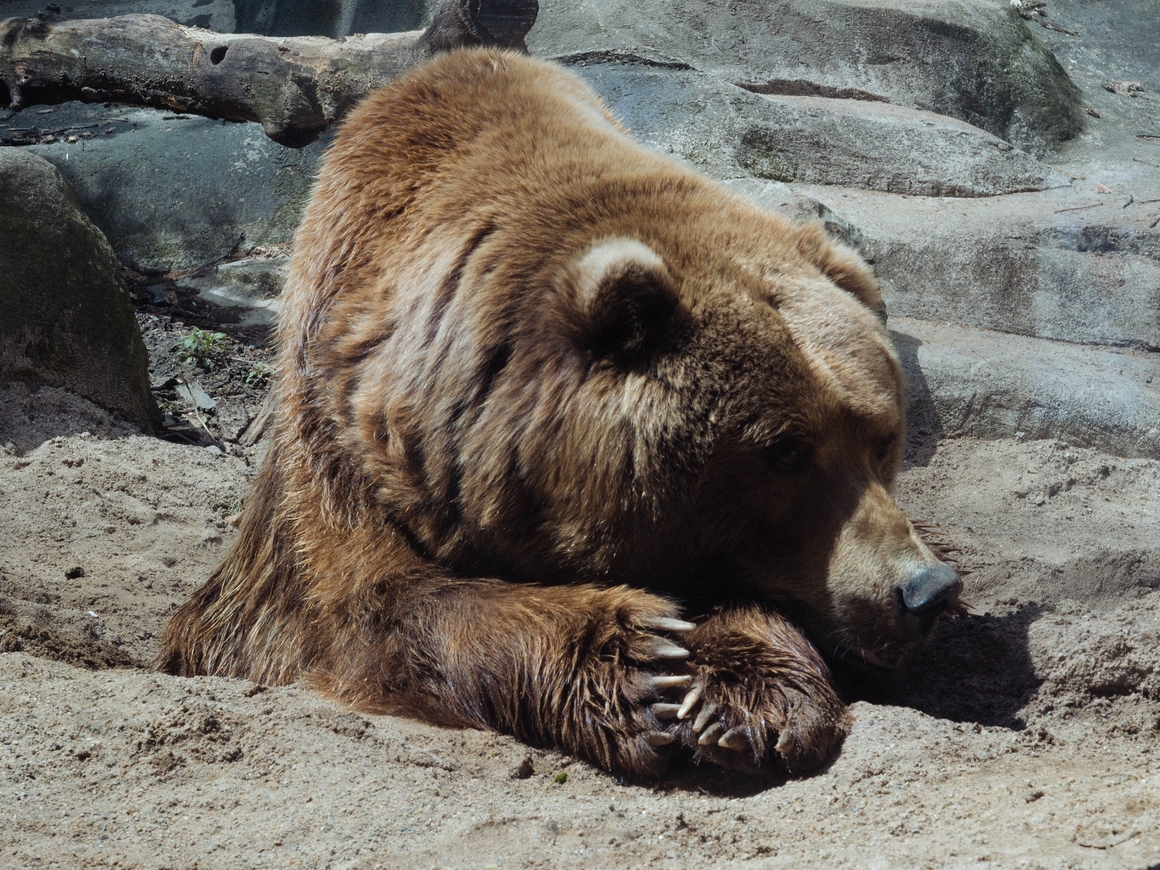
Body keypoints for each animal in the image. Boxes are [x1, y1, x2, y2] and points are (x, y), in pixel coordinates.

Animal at [161, 47, 960, 779]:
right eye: (786, 451)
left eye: (881, 437)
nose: (925, 590)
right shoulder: (341, 441)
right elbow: (375, 606)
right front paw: (642, 663)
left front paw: (740, 697)